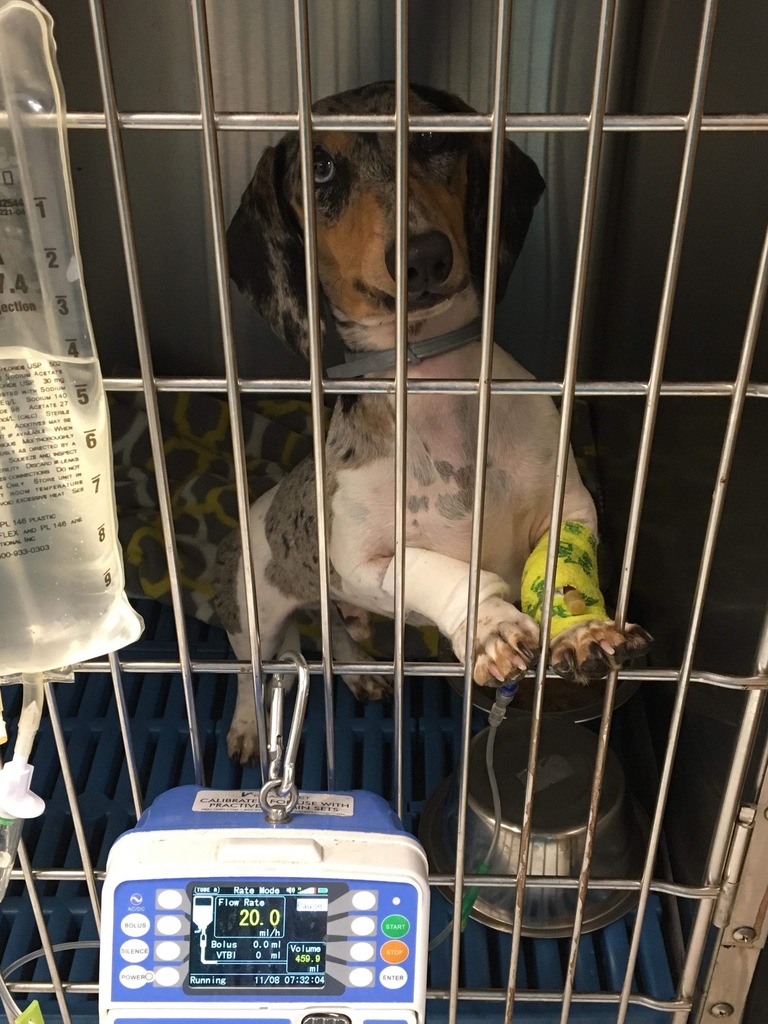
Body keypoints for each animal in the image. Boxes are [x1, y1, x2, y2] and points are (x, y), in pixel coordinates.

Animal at [216, 81, 651, 765]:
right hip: (254, 618)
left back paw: (362, 672)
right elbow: (441, 569)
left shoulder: (572, 507)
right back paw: (245, 728)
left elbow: (561, 567)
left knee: (334, 636)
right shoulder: (362, 565)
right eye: (320, 166)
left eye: (431, 136)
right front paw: (490, 627)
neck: (440, 394)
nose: (423, 257)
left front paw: (580, 630)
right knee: (248, 672)